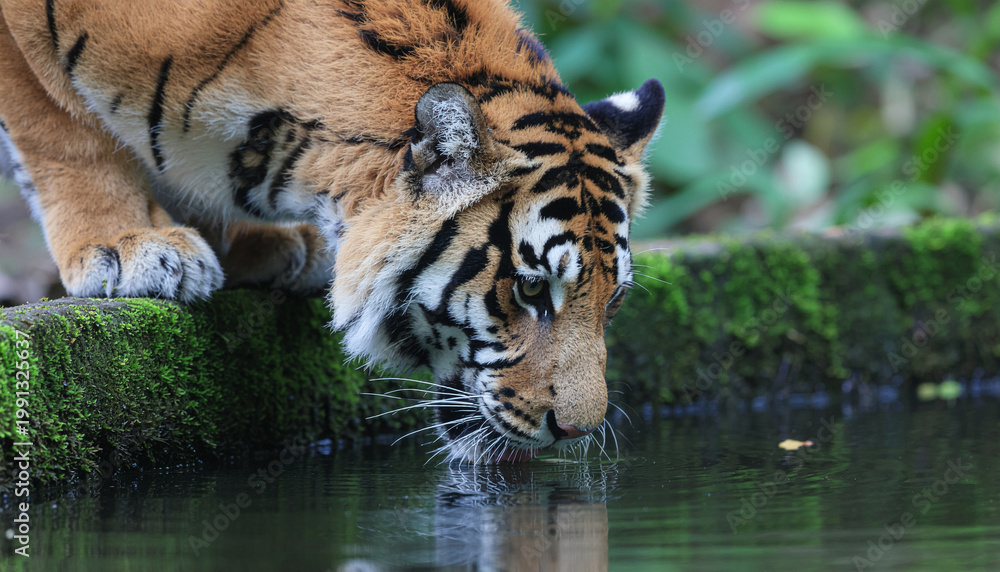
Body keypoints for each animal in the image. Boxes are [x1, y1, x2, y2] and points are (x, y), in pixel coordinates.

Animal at [0, 0, 664, 463]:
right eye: (529, 290)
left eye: (614, 301)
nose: (577, 431)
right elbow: (62, 131)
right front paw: (125, 245)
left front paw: (264, 247)